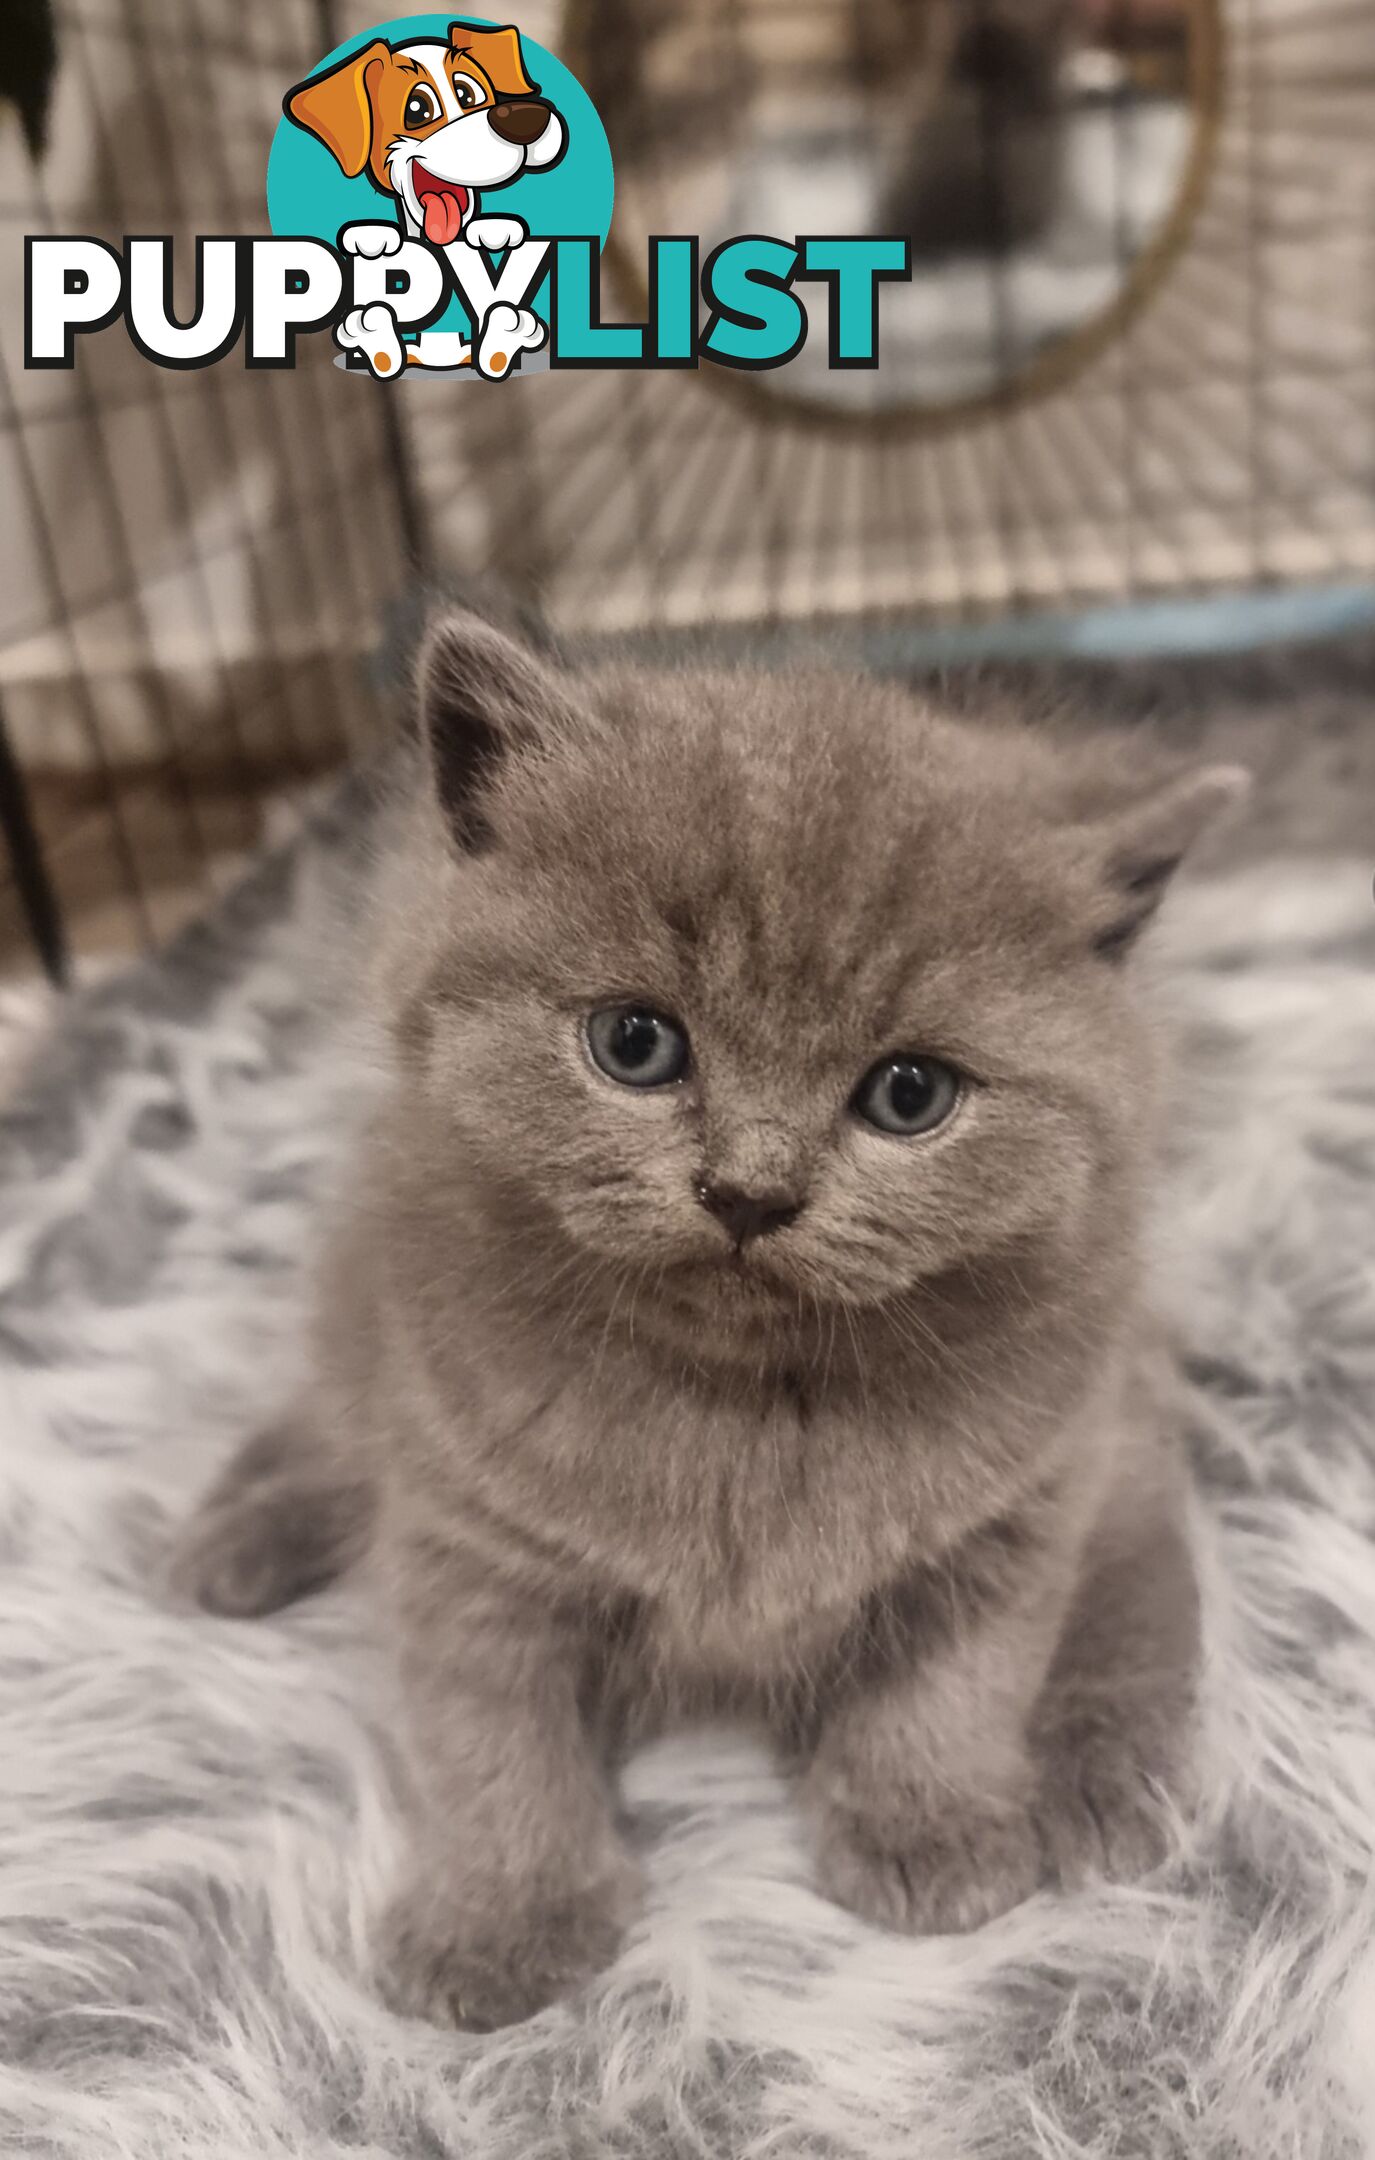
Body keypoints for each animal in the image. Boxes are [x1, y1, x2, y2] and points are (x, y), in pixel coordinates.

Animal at [171, 617, 1243, 2030]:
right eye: (635, 1042)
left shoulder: (1015, 1511)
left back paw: (1099, 1773)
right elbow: (487, 1737)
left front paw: (928, 1830)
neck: (743, 1404)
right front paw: (502, 1919)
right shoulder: (469, 1532)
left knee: (1144, 1554)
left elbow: (951, 1683)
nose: (751, 1190)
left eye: (909, 1094)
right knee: (330, 1418)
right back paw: (231, 1540)